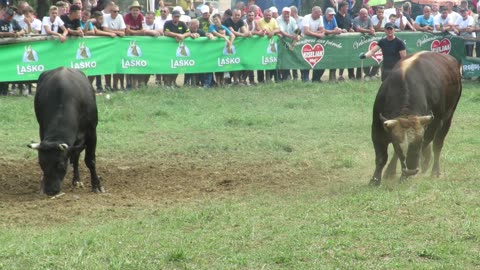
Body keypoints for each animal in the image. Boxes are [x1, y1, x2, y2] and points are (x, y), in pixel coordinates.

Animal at [28, 66, 105, 195]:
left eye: (60, 164)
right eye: (41, 163)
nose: (50, 191)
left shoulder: (92, 132)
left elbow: (90, 160)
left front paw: (97, 185)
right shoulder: (42, 130)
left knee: (76, 156)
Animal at [370, 51, 464, 186]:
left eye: (418, 145)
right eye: (397, 145)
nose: (411, 171)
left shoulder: (434, 123)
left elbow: (426, 144)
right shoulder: (377, 126)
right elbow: (382, 157)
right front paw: (375, 180)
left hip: (448, 117)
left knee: (437, 144)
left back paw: (434, 170)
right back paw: (391, 171)